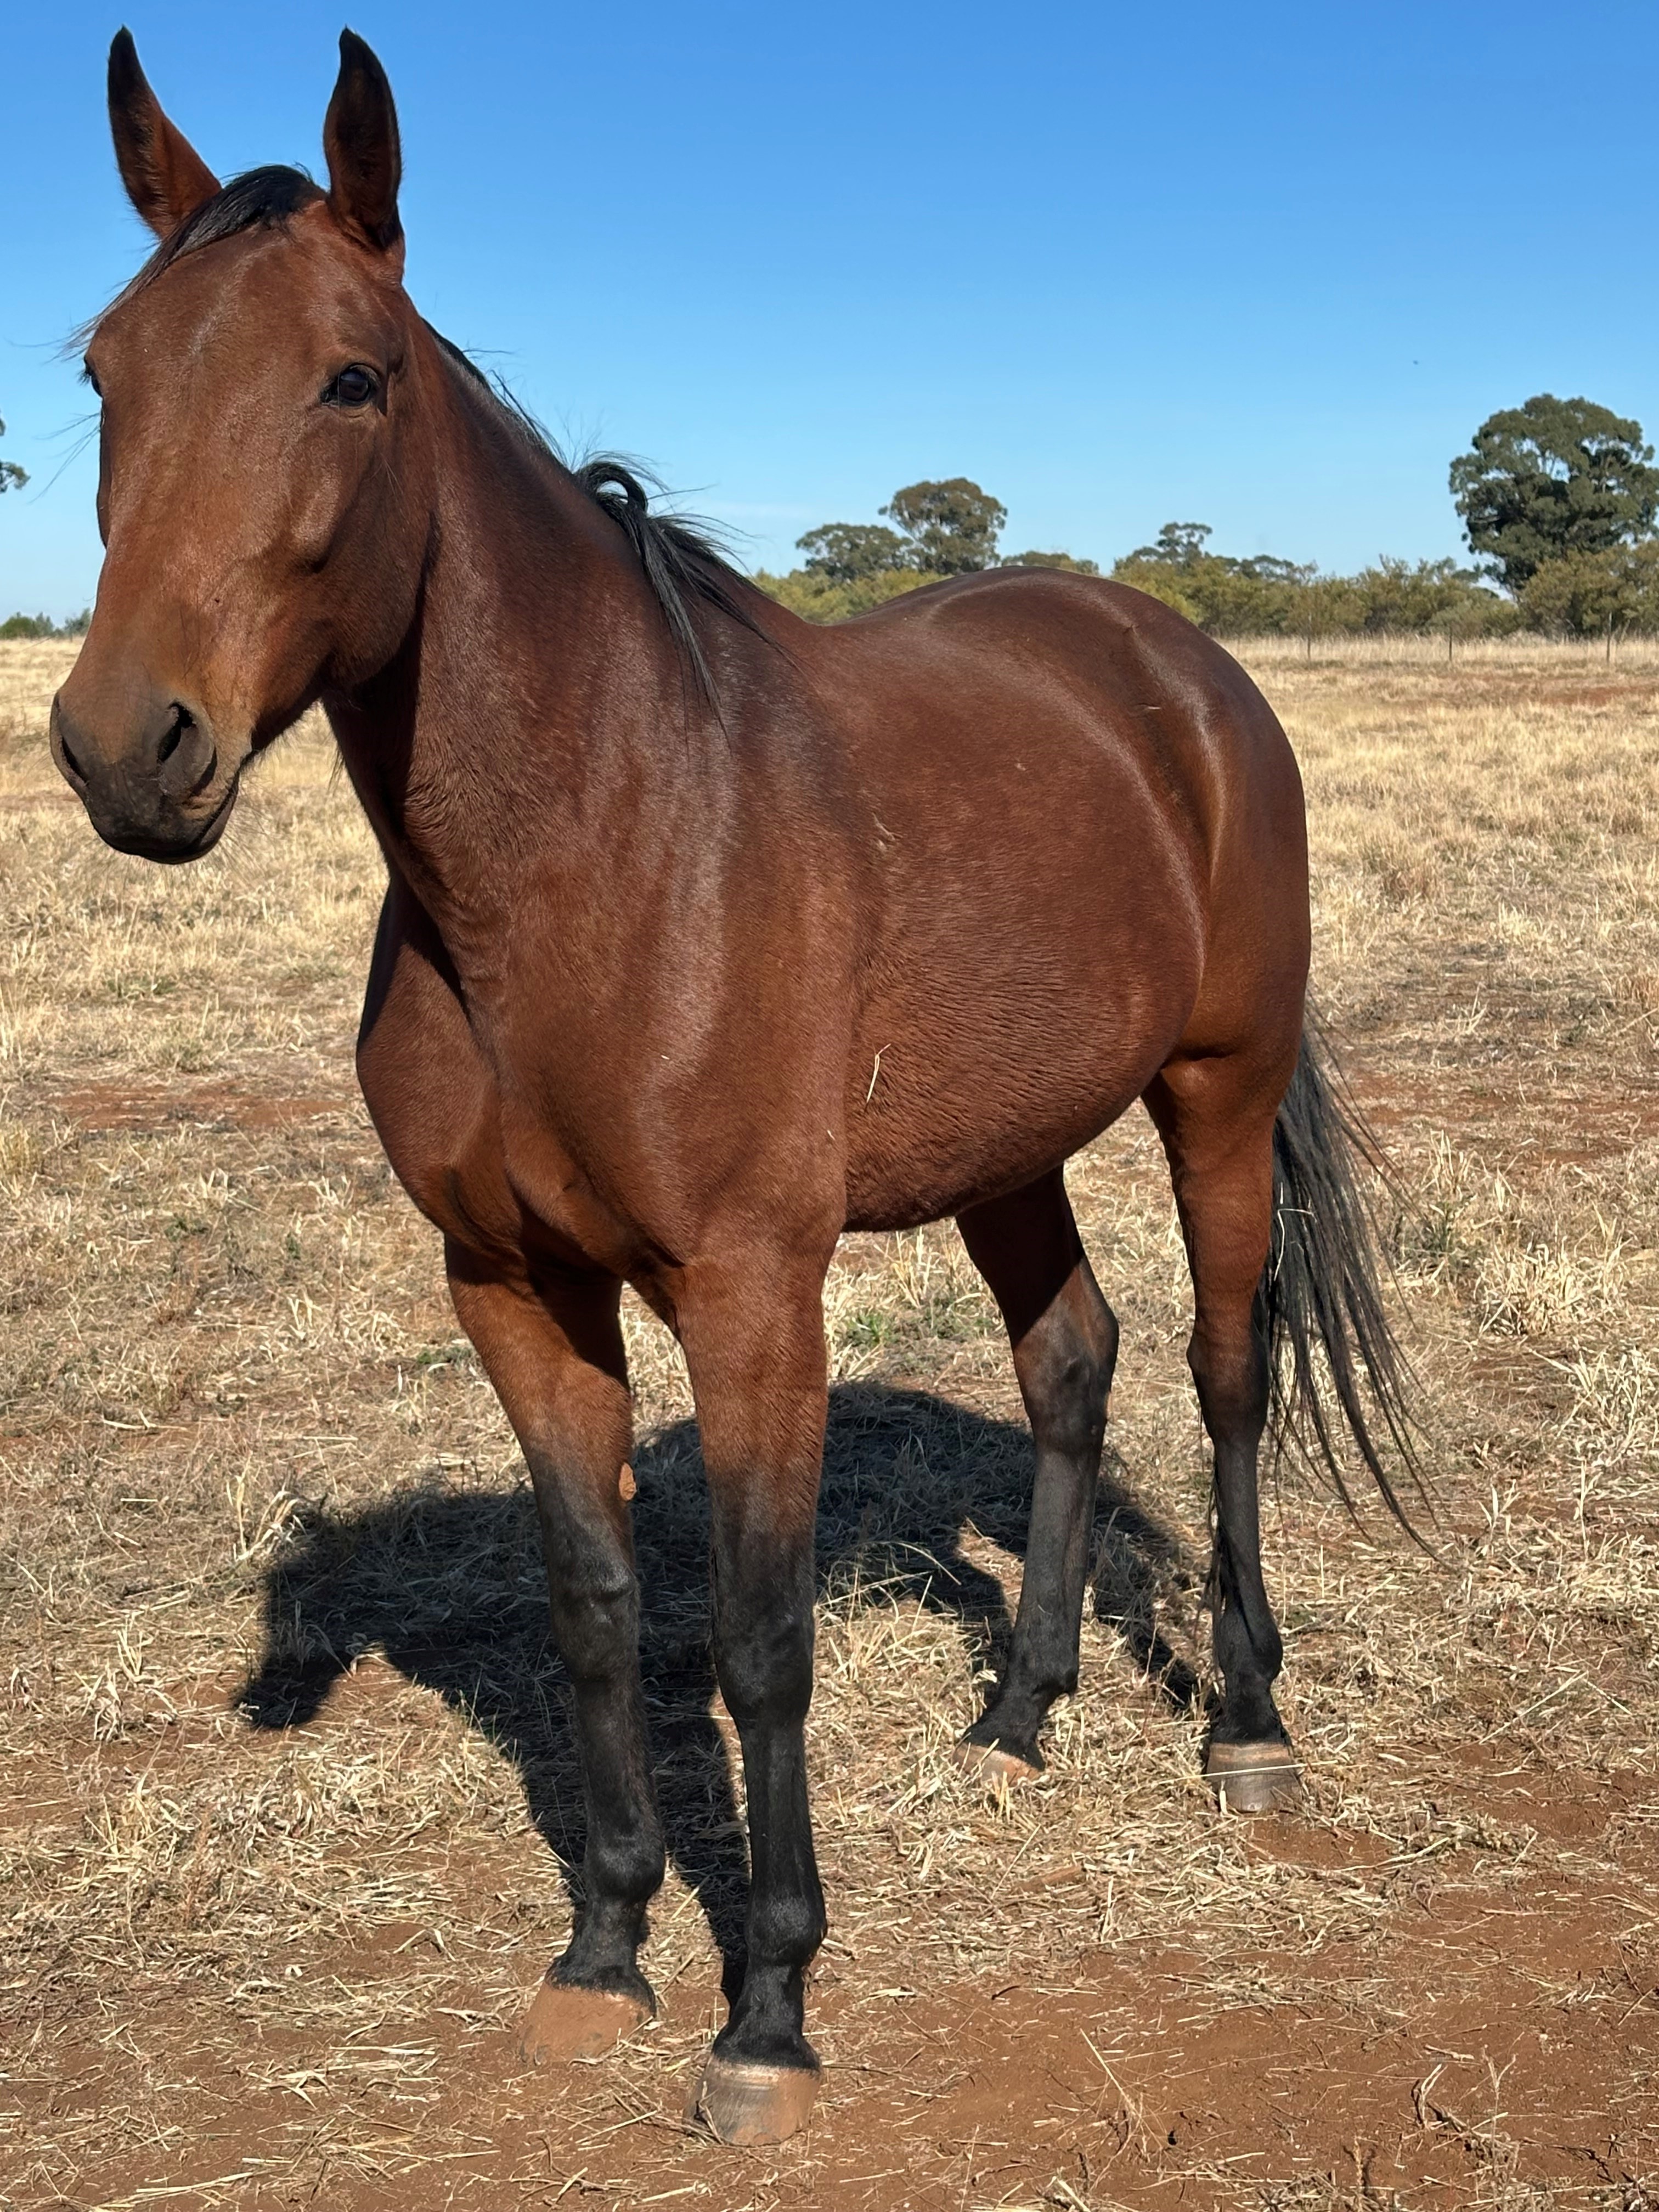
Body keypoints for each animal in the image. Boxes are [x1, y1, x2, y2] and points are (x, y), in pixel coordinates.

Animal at [51, 29, 1418, 2145]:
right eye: (106, 371)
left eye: (353, 376)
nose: (130, 750)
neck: (588, 858)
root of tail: (1175, 666)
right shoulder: (515, 1288)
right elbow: (601, 1608)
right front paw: (607, 1949)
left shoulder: (755, 1290)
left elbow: (760, 1646)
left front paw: (767, 2005)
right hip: (1007, 1149)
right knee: (1072, 1364)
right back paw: (1017, 1718)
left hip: (1214, 1088)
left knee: (1218, 1371)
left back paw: (1251, 1728)